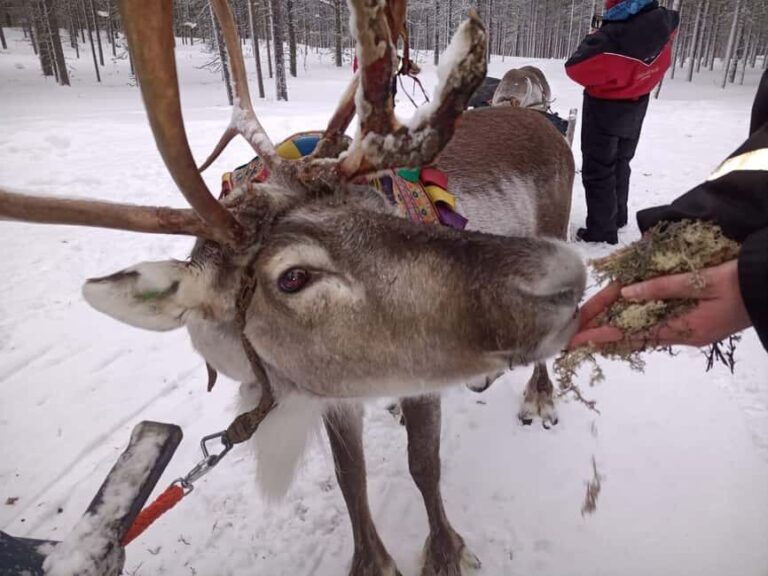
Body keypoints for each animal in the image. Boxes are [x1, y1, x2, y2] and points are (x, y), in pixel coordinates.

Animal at [0, 0, 585, 575]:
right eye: (293, 276)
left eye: (380, 207)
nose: (562, 277)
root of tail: (534, 116)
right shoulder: (333, 389)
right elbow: (351, 477)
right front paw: (372, 563)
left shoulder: (416, 382)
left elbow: (424, 465)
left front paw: (445, 555)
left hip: (554, 225)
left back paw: (539, 398)